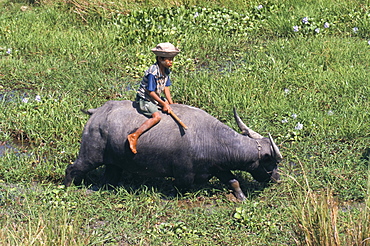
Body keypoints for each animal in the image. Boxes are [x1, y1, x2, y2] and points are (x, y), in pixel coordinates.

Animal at [65, 100, 282, 200]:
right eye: (271, 161)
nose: (277, 178)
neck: (212, 137)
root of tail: (97, 112)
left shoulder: (219, 168)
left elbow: (234, 181)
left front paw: (242, 198)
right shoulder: (184, 175)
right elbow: (182, 188)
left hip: (114, 163)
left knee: (109, 178)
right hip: (90, 156)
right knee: (72, 169)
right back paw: (68, 188)